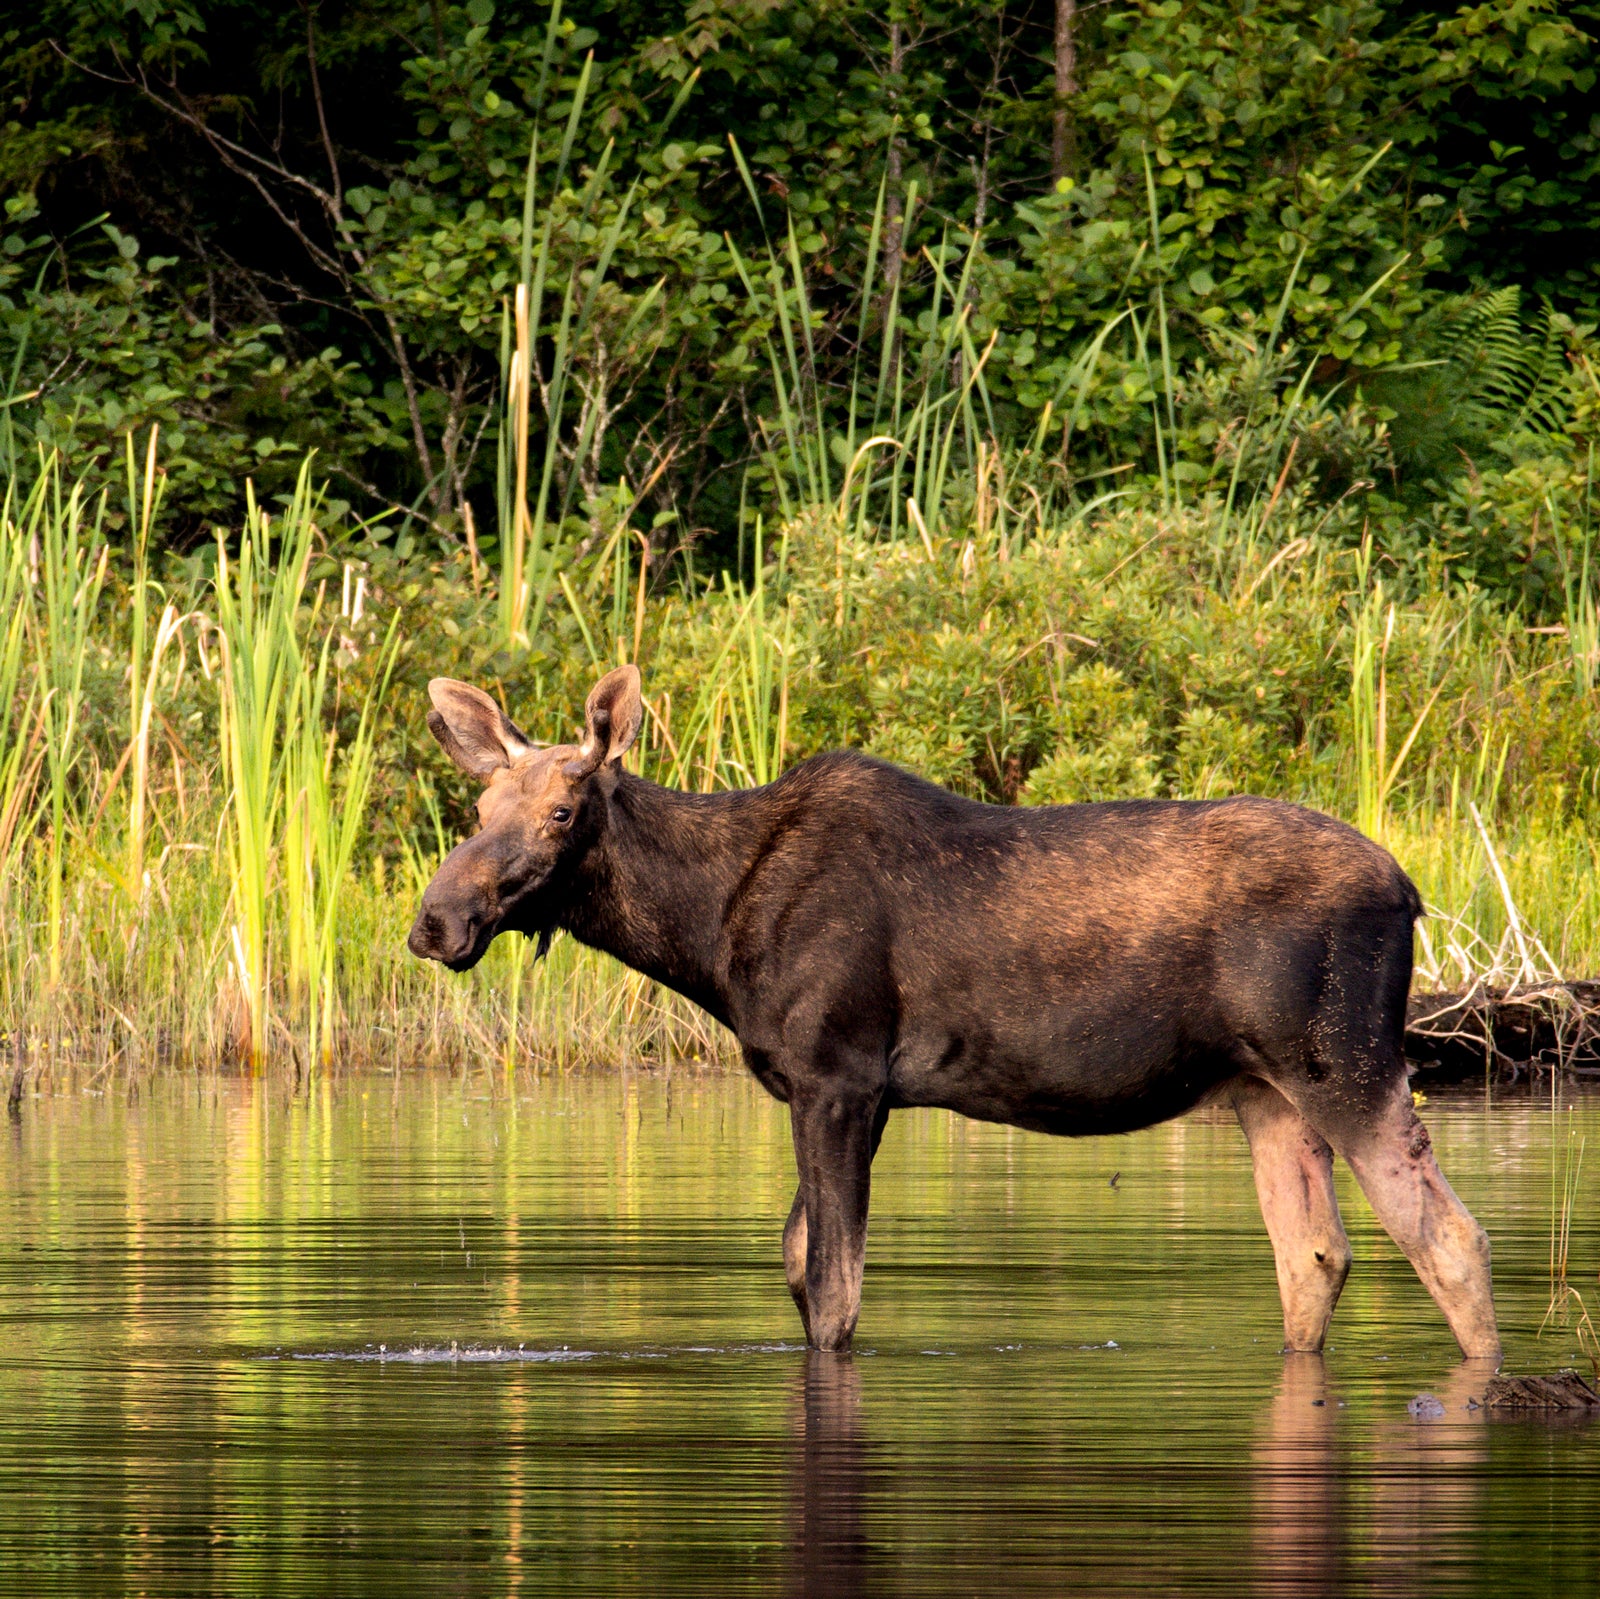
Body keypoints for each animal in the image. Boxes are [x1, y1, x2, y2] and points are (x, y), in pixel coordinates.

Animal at [409, 665, 1497, 1363]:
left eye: (560, 813)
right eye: (477, 812)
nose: (434, 921)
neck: (706, 935)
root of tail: (1410, 892)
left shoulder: (840, 1076)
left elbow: (834, 1287)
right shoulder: (838, 1089)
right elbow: (800, 1266)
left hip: (1343, 1062)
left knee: (1446, 1237)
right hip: (1262, 1089)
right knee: (1313, 1256)